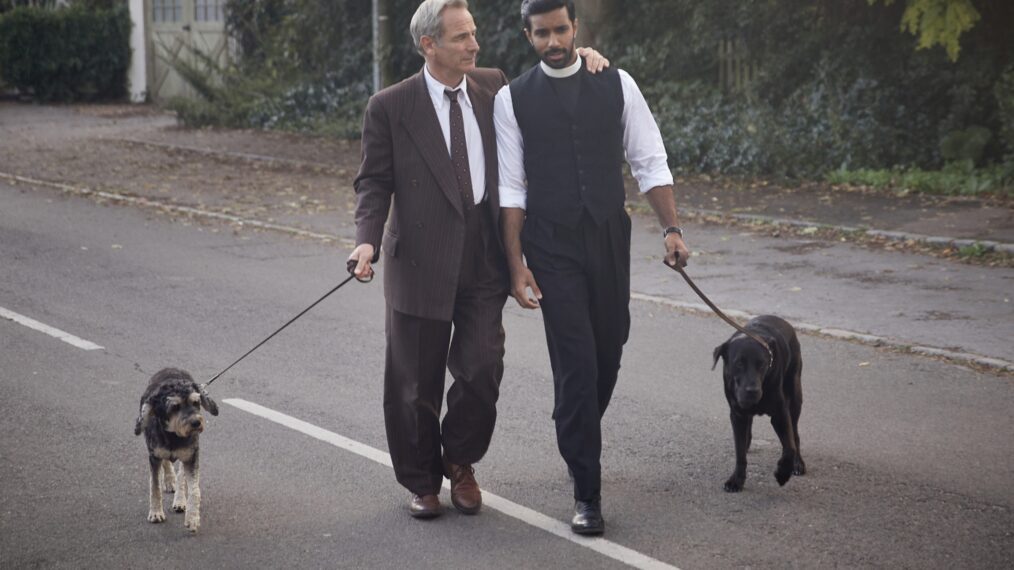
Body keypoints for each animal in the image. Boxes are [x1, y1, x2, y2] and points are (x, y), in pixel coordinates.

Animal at [133, 365, 216, 531]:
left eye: (196, 402)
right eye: (175, 407)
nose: (196, 423)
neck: (174, 435)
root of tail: (170, 368)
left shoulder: (192, 456)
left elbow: (194, 490)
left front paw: (192, 517)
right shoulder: (154, 456)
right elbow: (155, 487)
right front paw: (156, 513)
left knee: (182, 474)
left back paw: (179, 499)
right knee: (167, 463)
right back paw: (170, 480)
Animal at [713, 312, 807, 490]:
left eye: (762, 364)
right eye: (739, 363)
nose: (752, 391)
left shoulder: (780, 414)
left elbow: (789, 447)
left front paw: (783, 473)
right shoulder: (737, 414)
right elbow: (740, 452)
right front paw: (737, 479)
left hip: (795, 396)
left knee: (796, 435)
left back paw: (798, 464)